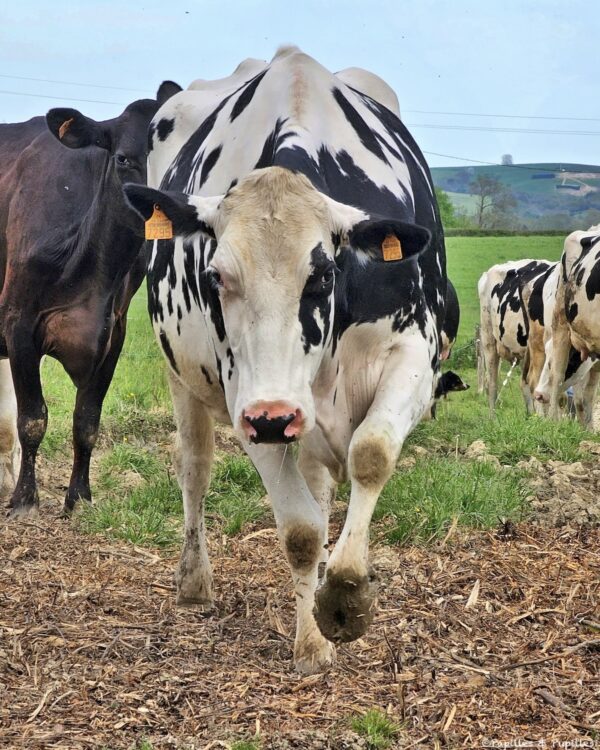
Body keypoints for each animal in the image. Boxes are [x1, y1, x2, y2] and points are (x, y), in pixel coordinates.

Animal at [0, 80, 182, 515]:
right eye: (124, 159)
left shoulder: (113, 333)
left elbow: (87, 422)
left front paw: (79, 497)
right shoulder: (17, 323)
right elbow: (32, 419)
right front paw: (24, 500)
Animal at [124, 46, 446, 674]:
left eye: (321, 275)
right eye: (215, 276)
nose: (275, 417)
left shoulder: (415, 355)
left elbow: (371, 454)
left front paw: (344, 591)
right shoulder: (244, 396)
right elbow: (299, 529)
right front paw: (313, 641)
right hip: (184, 378)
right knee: (195, 467)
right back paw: (194, 581)